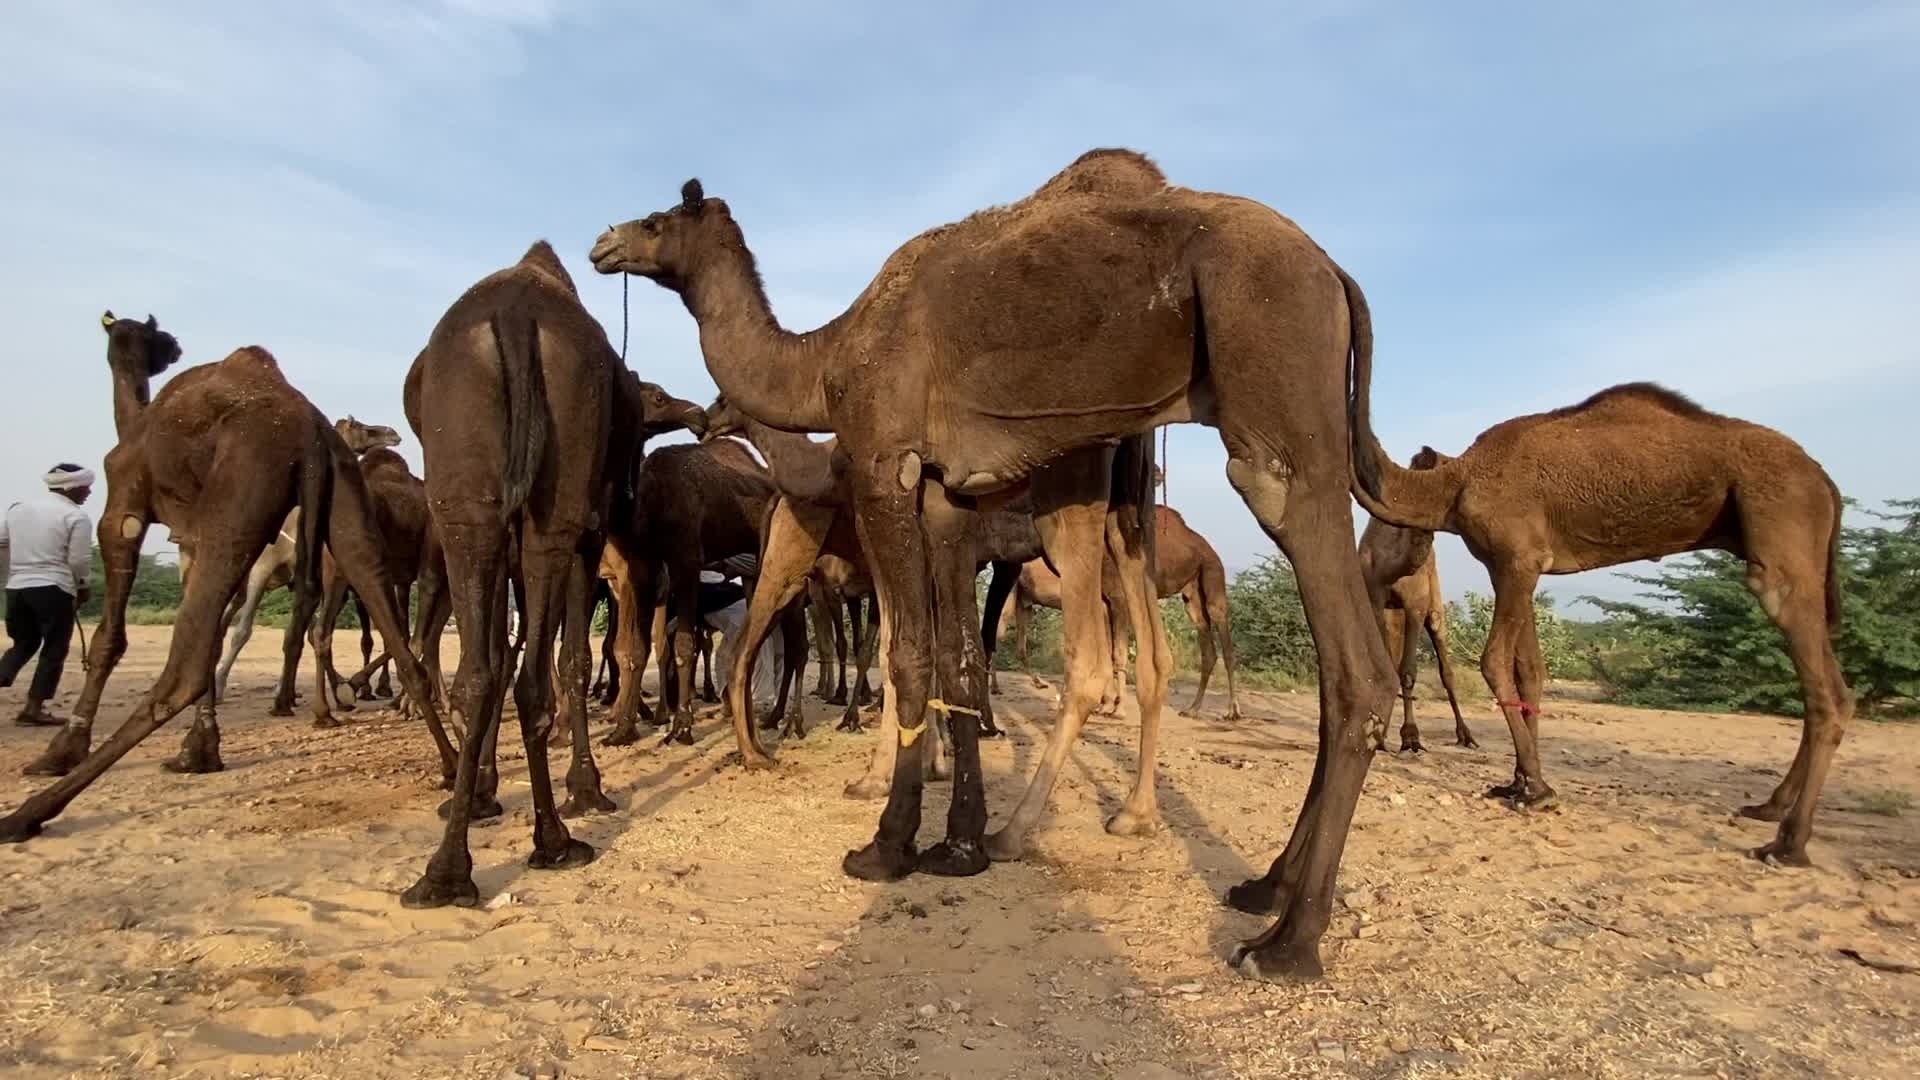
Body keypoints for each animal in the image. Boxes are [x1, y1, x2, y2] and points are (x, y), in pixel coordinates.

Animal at [0, 313, 445, 841]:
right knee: (388, 638)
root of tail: (311, 435)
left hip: (241, 501)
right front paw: (202, 744)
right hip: (344, 517)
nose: (172, 344)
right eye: (154, 336)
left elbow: (112, 636)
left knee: (196, 664)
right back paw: (448, 772)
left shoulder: (127, 502)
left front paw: (67, 748)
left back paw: (31, 811)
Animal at [593, 148, 1394, 981]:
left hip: (1274, 388)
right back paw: (1253, 880)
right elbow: (959, 659)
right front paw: (959, 841)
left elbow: (909, 655)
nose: (603, 243)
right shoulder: (948, 496)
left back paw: (1288, 941)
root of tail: (1335, 272)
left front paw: (888, 843)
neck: (825, 358)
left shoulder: (885, 463)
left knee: (1346, 655)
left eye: (655, 220)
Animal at [1356, 512, 1473, 752]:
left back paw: (1465, 735)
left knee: (1445, 666)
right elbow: (1389, 669)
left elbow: (1408, 672)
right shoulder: (1375, 597)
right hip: (1394, 616)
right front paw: (1380, 736)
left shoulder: (1416, 602)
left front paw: (1411, 737)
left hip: (1434, 597)